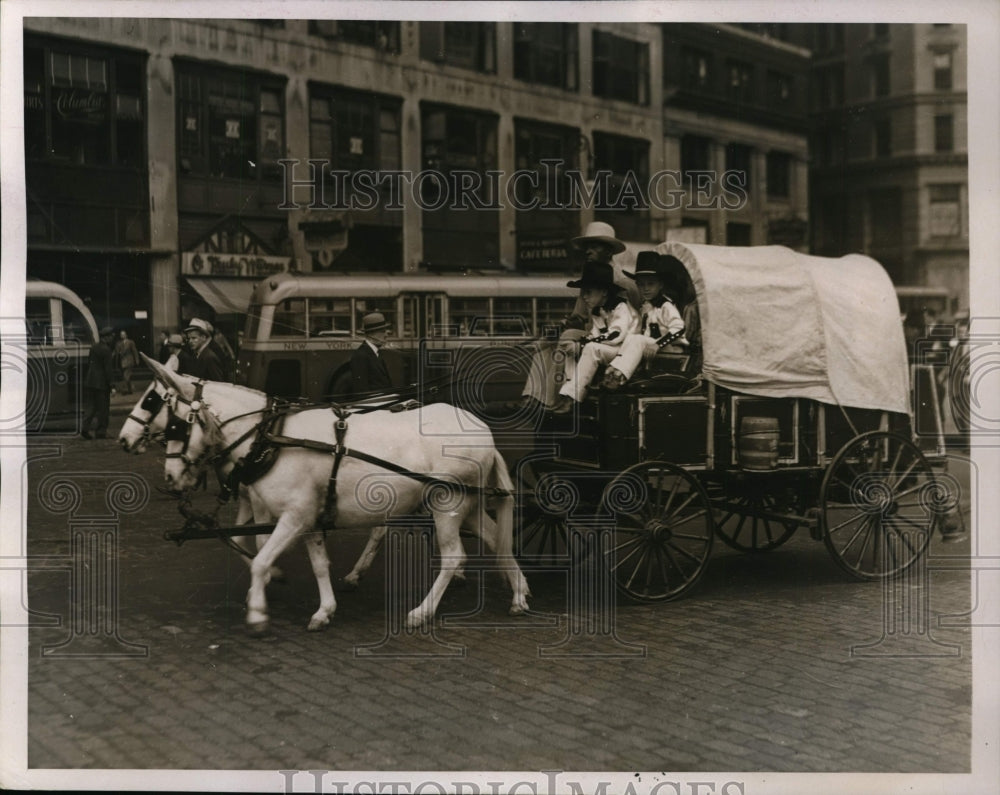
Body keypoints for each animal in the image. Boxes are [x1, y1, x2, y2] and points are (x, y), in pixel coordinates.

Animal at [148, 358, 532, 632]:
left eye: (174, 424)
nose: (169, 478)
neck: (270, 438)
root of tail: (485, 433)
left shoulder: (293, 516)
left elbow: (261, 559)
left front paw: (257, 613)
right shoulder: (311, 517)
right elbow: (319, 564)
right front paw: (324, 610)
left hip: (447, 504)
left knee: (453, 556)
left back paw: (422, 611)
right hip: (467, 503)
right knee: (497, 539)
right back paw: (518, 595)